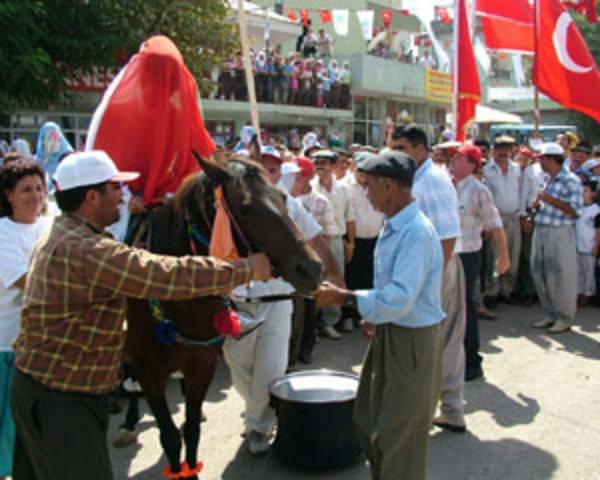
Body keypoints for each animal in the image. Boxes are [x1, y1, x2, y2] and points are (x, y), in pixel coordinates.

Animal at [121, 155, 322, 479]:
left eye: (282, 197)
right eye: (246, 207)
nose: (312, 268)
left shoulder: (202, 365)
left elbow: (191, 431)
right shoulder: (148, 369)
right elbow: (170, 437)